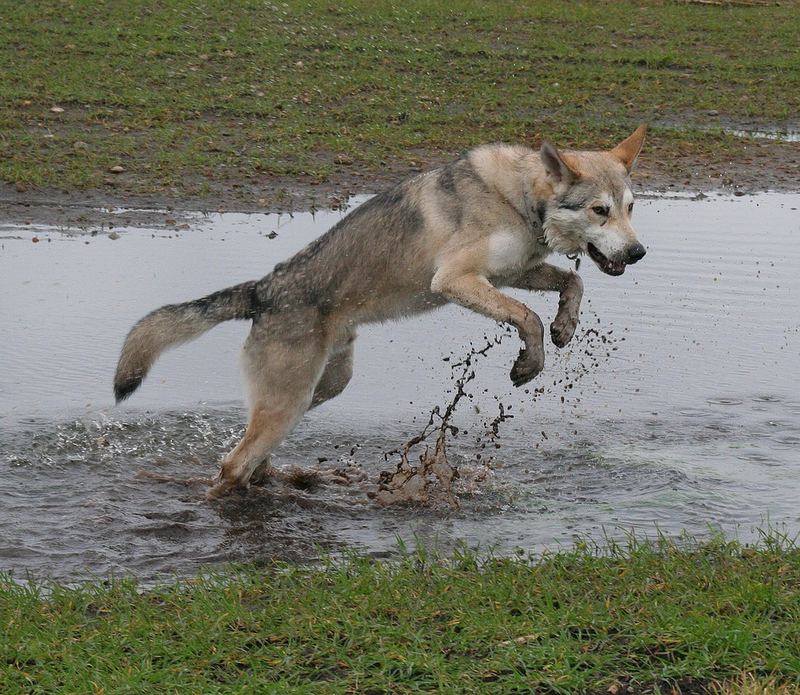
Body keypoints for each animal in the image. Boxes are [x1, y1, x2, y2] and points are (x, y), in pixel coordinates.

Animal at [114, 123, 648, 494]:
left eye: (630, 207)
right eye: (600, 210)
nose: (639, 252)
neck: (520, 199)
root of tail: (263, 290)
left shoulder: (509, 273)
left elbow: (573, 280)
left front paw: (565, 328)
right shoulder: (457, 279)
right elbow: (527, 316)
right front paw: (529, 363)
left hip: (323, 387)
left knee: (251, 454)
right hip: (291, 399)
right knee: (231, 466)